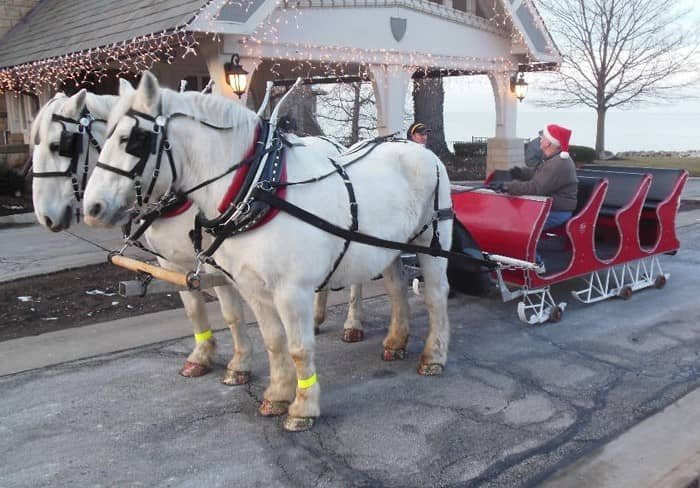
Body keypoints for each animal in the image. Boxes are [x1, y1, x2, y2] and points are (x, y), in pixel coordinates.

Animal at [83, 70, 454, 428]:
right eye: (104, 137)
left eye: (133, 140)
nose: (92, 208)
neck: (260, 188)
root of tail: (419, 149)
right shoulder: (251, 286)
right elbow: (274, 341)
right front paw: (277, 394)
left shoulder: (292, 290)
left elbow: (299, 347)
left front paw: (303, 408)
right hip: (386, 249)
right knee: (396, 289)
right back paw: (396, 341)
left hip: (433, 244)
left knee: (436, 296)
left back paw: (434, 356)